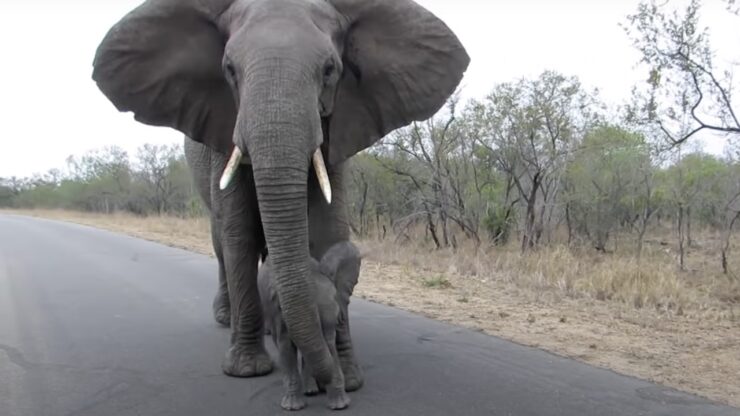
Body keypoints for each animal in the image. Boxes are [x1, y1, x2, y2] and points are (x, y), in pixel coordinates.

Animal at [91, 0, 468, 390]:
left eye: (329, 69)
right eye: (229, 70)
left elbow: (327, 229)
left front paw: (348, 378)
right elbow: (239, 232)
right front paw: (247, 369)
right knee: (221, 242)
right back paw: (229, 319)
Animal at [258, 242, 362, 412]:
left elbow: (328, 344)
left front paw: (340, 406)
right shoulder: (278, 312)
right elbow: (286, 346)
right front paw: (292, 407)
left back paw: (311, 390)